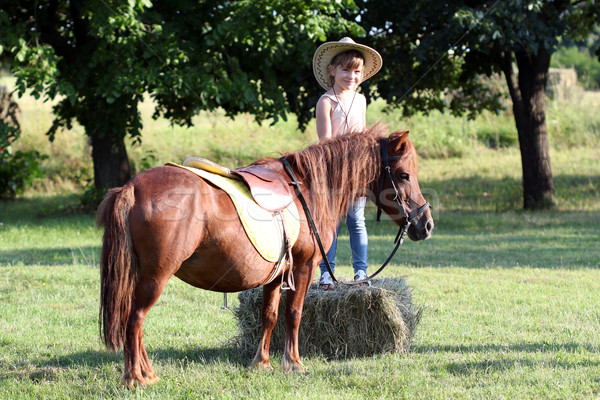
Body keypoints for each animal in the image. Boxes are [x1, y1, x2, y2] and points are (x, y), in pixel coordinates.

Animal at [99, 125, 436, 388]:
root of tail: (132, 187)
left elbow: (270, 315)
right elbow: (294, 313)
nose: (426, 223)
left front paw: (262, 362)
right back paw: (135, 377)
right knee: (135, 320)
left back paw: (146, 373)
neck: (308, 189)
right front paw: (294, 362)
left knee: (134, 320)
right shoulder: (304, 266)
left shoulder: (276, 275)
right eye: (404, 174)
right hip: (156, 276)